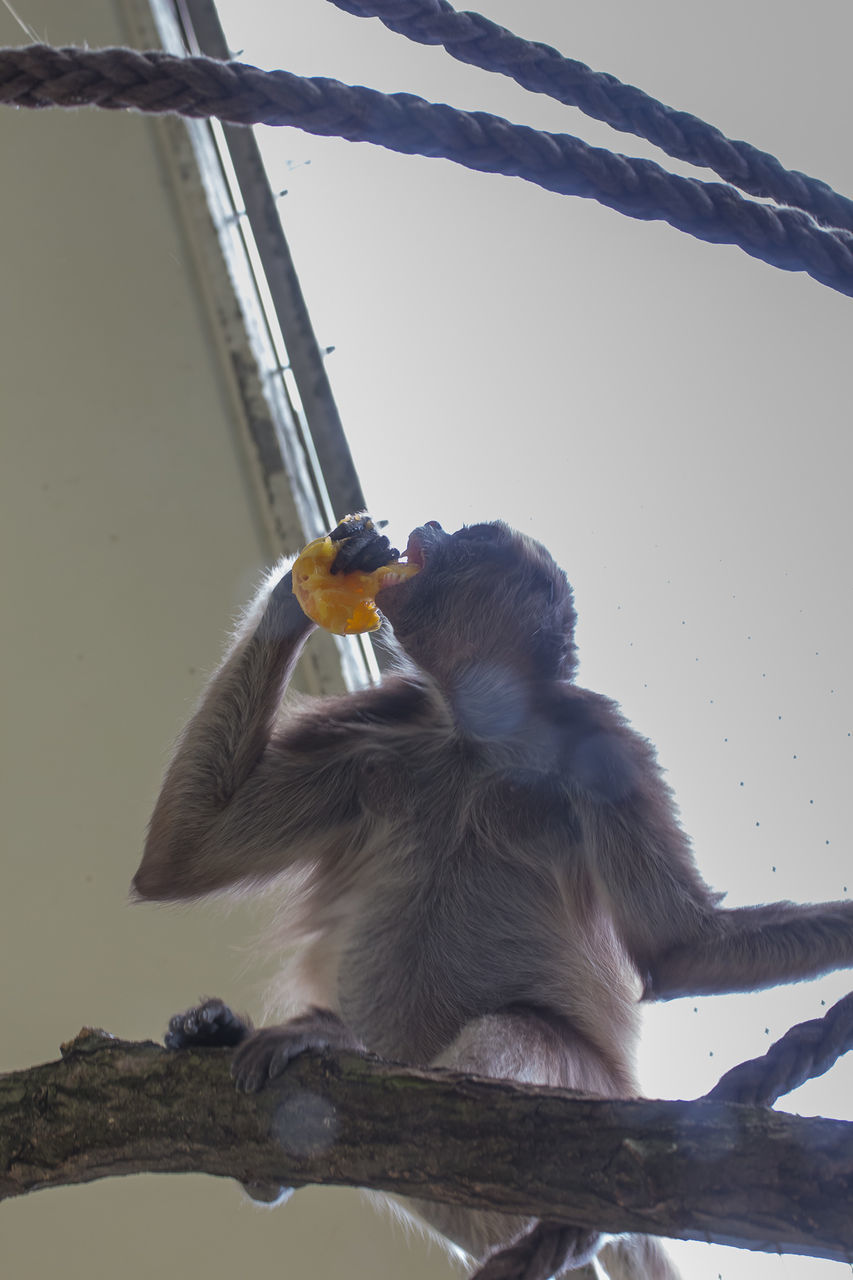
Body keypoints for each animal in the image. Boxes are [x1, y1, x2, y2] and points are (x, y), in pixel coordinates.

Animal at [136, 514, 850, 1274]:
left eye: (472, 534)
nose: (428, 525)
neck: (482, 739)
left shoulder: (601, 739)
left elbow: (680, 949)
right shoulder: (392, 720)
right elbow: (181, 855)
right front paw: (300, 592)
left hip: (581, 1085)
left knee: (513, 1029)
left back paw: (341, 1044)